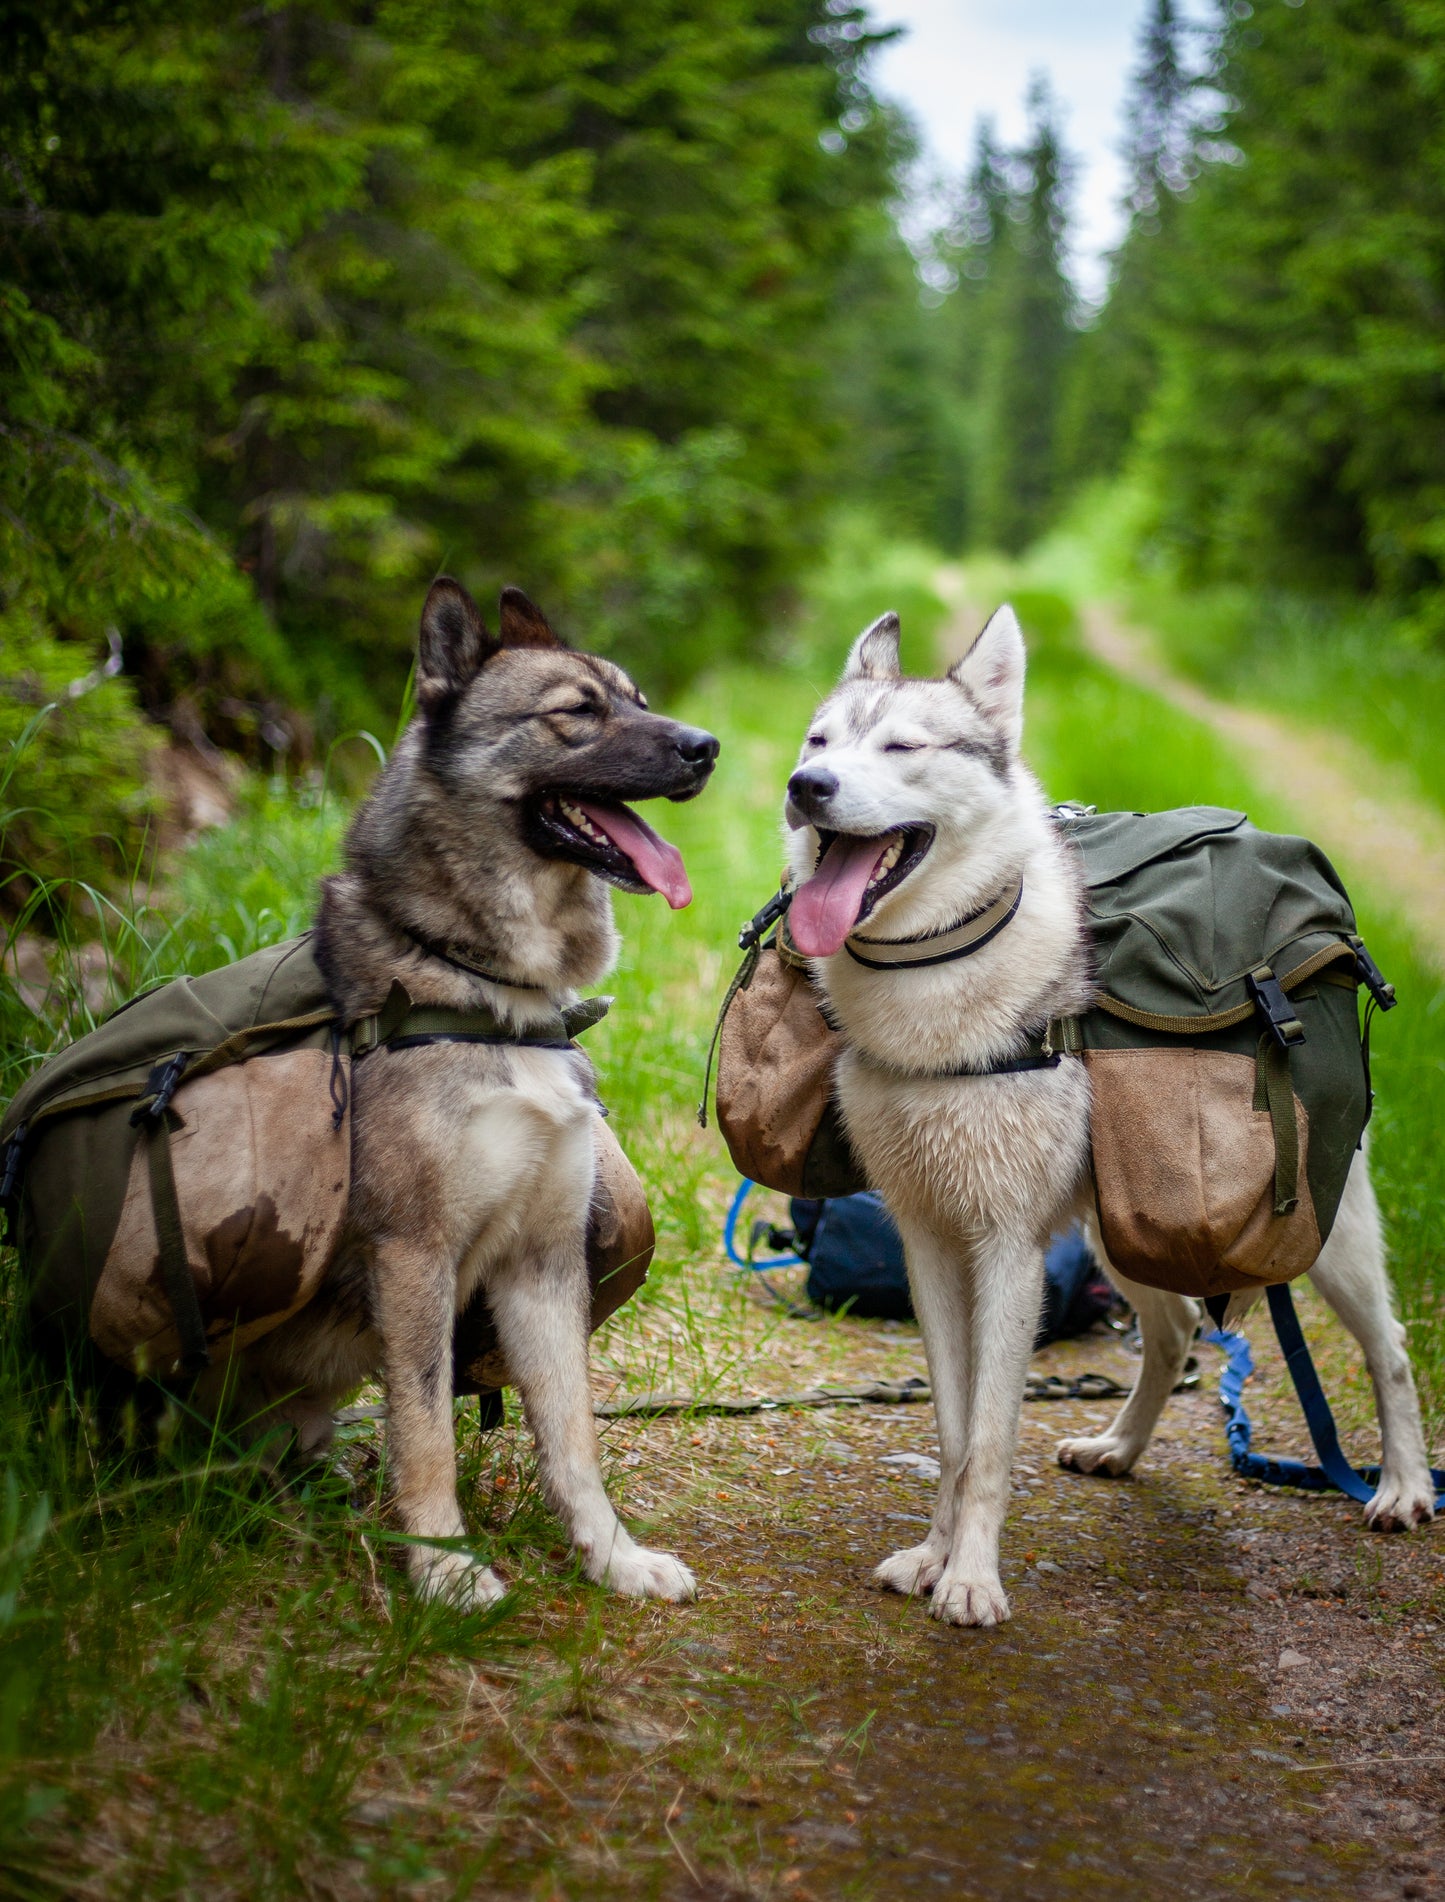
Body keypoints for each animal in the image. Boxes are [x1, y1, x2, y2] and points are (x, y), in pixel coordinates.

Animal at [231, 578, 718, 1605]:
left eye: (639, 697)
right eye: (578, 711)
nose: (705, 748)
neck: (489, 992)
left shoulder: (543, 1263)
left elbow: (572, 1439)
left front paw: (612, 1558)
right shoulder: (413, 1257)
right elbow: (426, 1436)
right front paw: (445, 1575)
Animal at [783, 616, 1437, 1628]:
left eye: (900, 748)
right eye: (818, 742)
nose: (806, 787)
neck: (937, 976)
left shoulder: (1006, 1249)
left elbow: (988, 1439)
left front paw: (970, 1580)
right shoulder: (928, 1241)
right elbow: (951, 1432)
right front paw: (932, 1557)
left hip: (1319, 1238)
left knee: (1391, 1353)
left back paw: (1402, 1487)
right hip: (1122, 1229)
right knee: (1170, 1337)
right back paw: (1120, 1450)